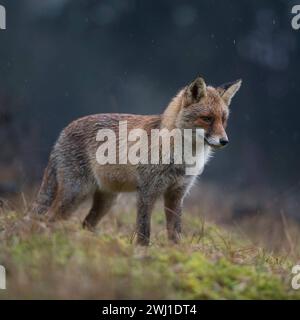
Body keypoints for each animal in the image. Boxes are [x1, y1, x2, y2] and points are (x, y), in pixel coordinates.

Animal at [32, 77, 241, 245]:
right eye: (207, 118)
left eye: (223, 120)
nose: (225, 141)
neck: (181, 157)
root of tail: (62, 132)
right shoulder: (147, 191)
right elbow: (144, 230)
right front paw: (143, 252)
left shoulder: (176, 194)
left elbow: (175, 232)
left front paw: (177, 253)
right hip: (76, 193)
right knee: (49, 218)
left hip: (107, 200)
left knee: (85, 223)